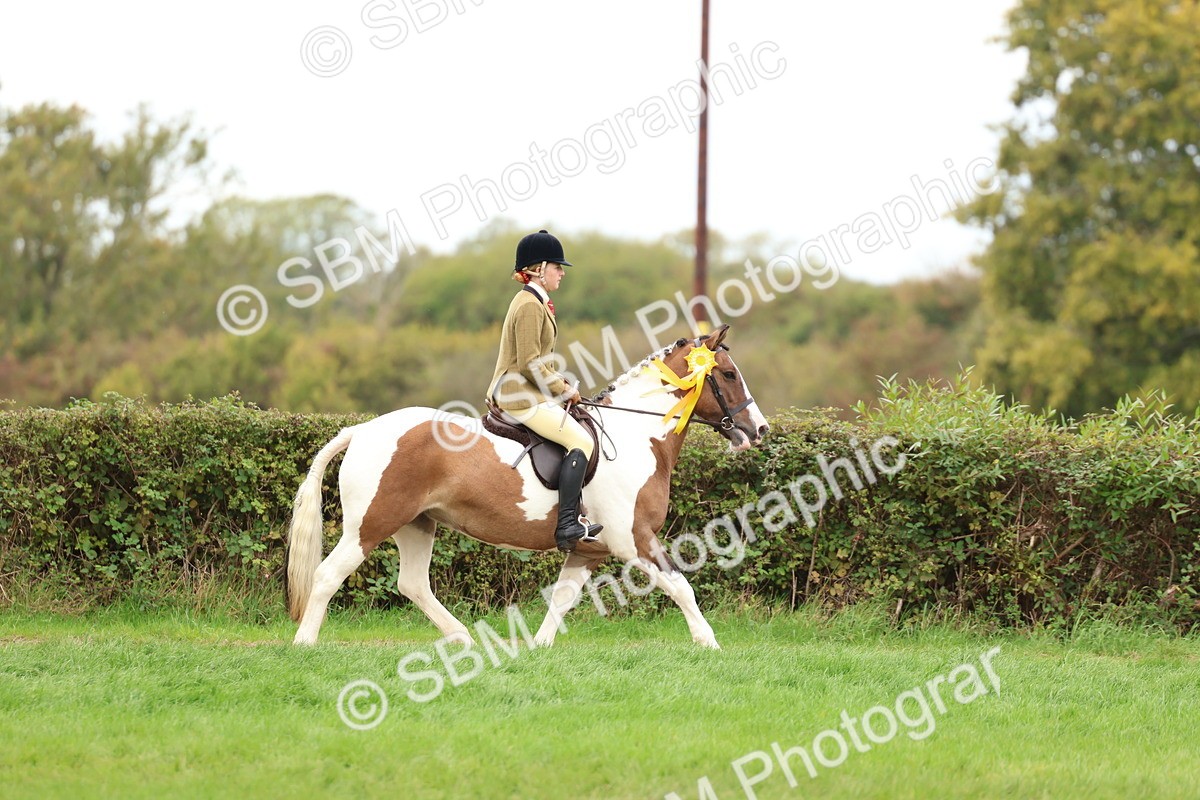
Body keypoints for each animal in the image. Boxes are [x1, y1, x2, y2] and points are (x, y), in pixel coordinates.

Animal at [286, 324, 769, 648]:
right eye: (728, 375)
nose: (759, 429)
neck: (637, 435)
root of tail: (362, 430)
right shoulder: (634, 538)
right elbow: (680, 585)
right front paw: (709, 643)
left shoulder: (589, 550)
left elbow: (563, 598)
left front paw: (538, 648)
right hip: (371, 523)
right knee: (328, 574)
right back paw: (305, 644)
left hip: (416, 523)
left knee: (413, 585)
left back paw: (463, 639)